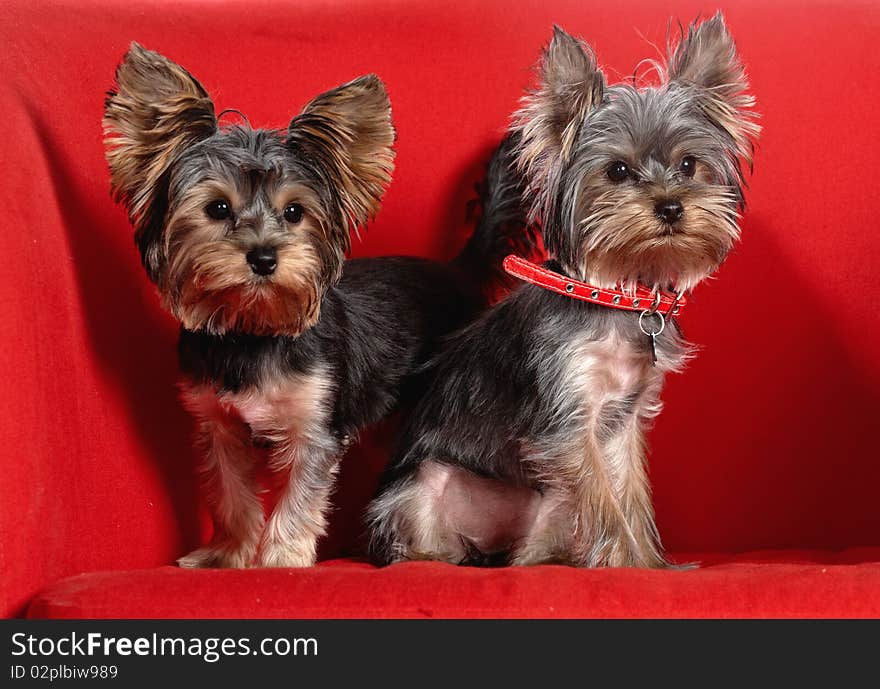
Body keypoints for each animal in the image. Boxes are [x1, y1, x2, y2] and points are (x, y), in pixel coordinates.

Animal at [103, 45, 528, 568]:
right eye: (217, 208)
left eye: (294, 212)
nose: (265, 257)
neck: (253, 329)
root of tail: (457, 272)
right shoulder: (219, 425)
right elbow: (230, 492)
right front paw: (228, 553)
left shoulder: (315, 425)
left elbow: (299, 496)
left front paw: (282, 559)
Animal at [368, 13, 760, 568]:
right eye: (617, 170)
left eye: (688, 165)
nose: (670, 206)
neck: (617, 297)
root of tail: (484, 546)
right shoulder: (570, 422)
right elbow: (604, 501)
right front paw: (627, 563)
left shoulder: (622, 419)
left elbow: (630, 494)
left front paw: (649, 564)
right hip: (424, 483)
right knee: (423, 535)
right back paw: (428, 557)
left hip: (547, 503)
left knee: (531, 548)